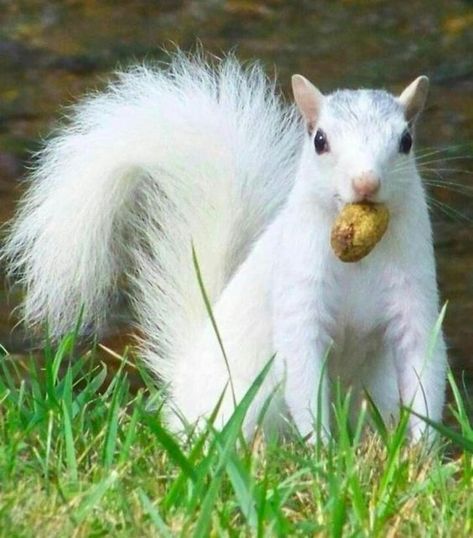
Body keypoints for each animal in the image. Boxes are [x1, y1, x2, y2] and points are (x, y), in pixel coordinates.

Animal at [3, 52, 446, 442]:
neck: (359, 259)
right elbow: (303, 372)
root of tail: (183, 383)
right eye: (320, 140)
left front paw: (422, 452)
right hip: (241, 404)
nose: (366, 183)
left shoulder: (413, 294)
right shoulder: (298, 296)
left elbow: (423, 364)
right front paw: (321, 449)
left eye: (406, 140)